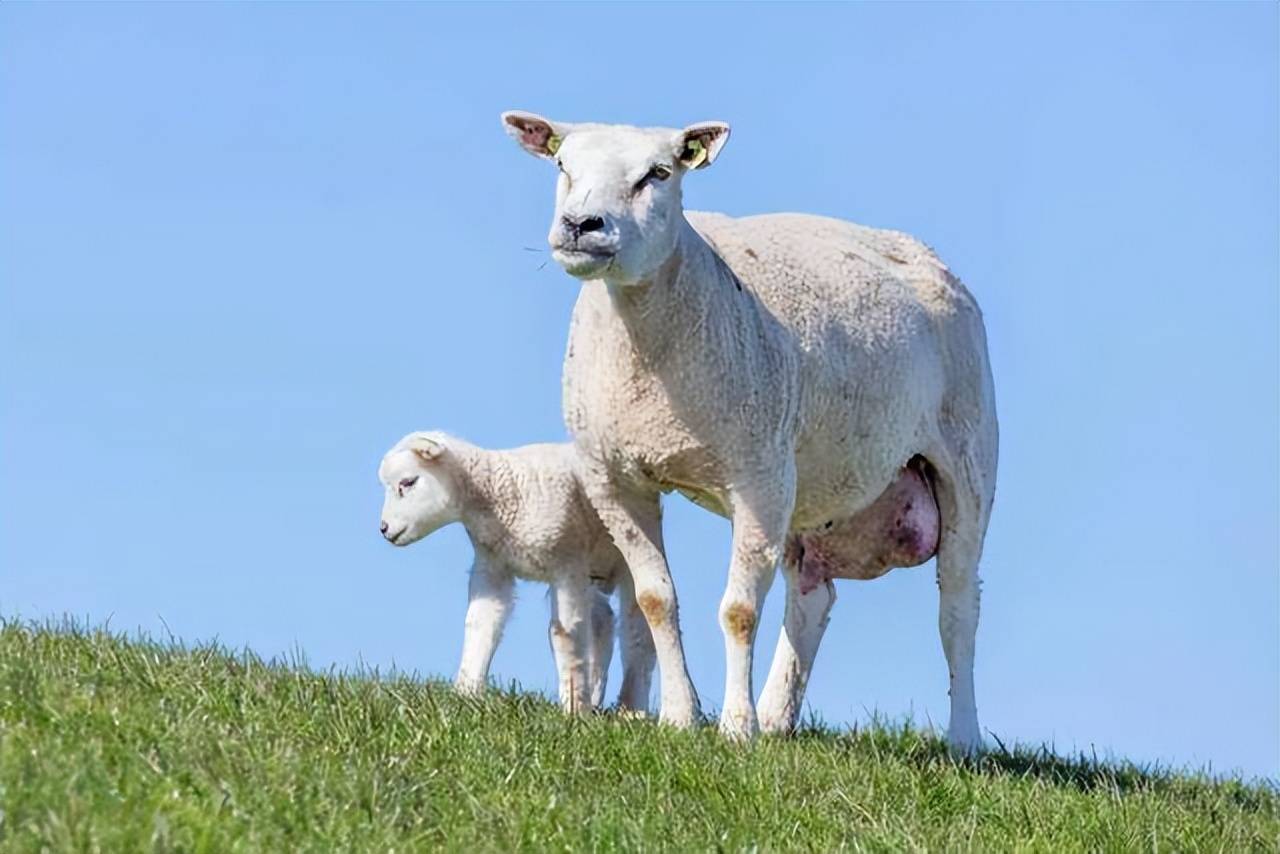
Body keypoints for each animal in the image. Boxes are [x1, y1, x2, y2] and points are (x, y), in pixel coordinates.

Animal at [373, 427, 655, 717]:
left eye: (408, 482)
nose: (384, 528)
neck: (494, 492)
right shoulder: (492, 566)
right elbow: (480, 623)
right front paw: (466, 693)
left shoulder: (567, 563)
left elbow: (565, 634)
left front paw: (573, 710)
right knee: (602, 620)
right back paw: (596, 695)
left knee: (638, 633)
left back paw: (632, 709)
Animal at [499, 112, 998, 747]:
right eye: (563, 165)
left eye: (658, 173)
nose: (581, 225)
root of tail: (926, 256)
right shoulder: (614, 479)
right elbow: (656, 599)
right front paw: (681, 716)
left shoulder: (756, 478)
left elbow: (738, 611)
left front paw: (736, 728)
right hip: (806, 481)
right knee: (811, 596)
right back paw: (779, 716)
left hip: (965, 457)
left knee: (957, 606)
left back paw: (964, 738)